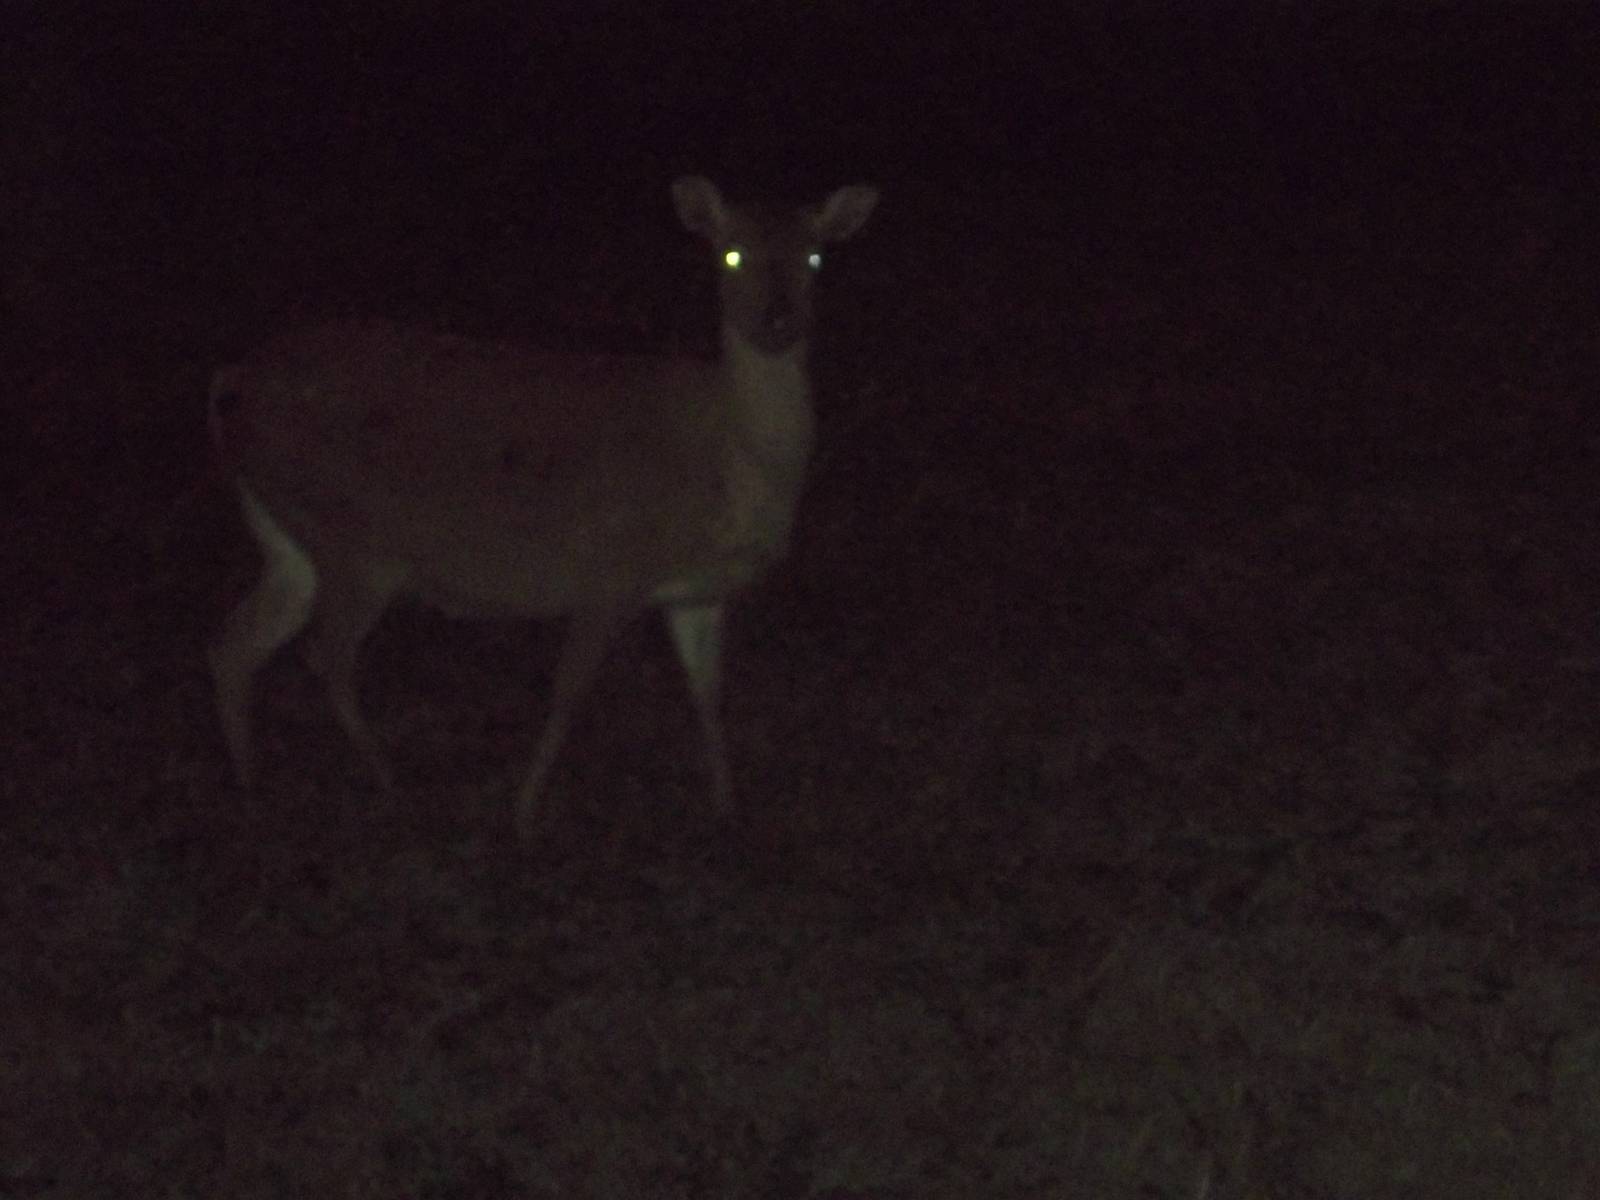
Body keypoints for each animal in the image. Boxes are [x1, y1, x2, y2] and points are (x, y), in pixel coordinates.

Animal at [205, 175, 878, 836]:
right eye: (731, 253)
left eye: (815, 256)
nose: (777, 320)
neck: (725, 465)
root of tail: (234, 382)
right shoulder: (609, 570)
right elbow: (568, 696)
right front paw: (525, 812)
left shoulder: (698, 594)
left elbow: (709, 698)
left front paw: (727, 809)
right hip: (355, 543)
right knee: (326, 657)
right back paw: (390, 781)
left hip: (289, 537)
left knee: (237, 643)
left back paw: (250, 784)